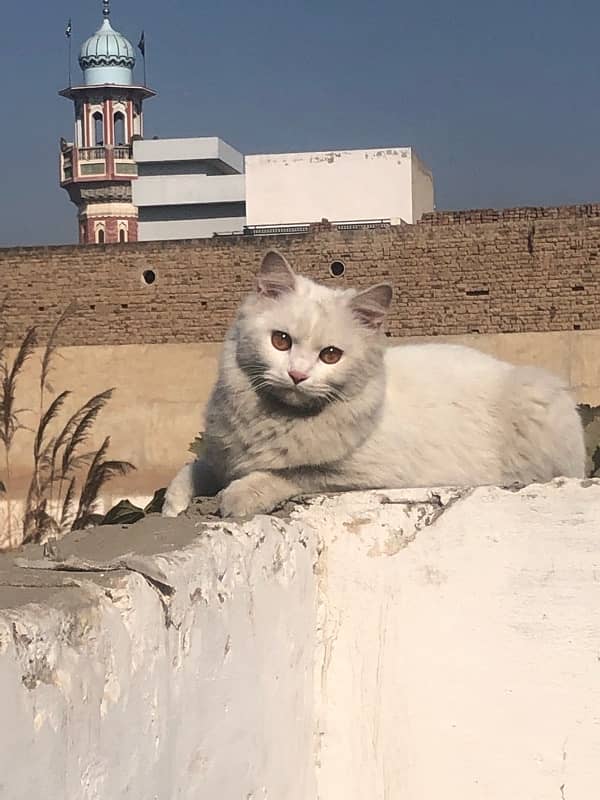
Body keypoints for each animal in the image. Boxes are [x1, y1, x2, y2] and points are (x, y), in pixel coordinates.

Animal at [162, 247, 584, 520]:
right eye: (280, 341)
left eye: (330, 355)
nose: (297, 375)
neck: (272, 419)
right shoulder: (220, 453)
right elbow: (190, 471)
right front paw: (173, 506)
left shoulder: (359, 473)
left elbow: (290, 473)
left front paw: (238, 496)